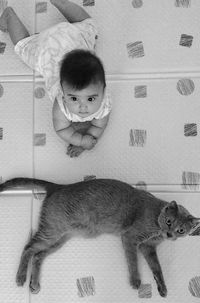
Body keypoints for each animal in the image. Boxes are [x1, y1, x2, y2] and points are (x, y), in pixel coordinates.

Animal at [0, 177, 198, 298]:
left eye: (181, 230)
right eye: (169, 221)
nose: (170, 234)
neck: (156, 228)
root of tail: (59, 186)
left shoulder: (148, 248)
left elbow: (157, 268)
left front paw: (162, 288)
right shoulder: (131, 238)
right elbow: (133, 261)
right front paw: (135, 281)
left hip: (60, 238)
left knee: (38, 255)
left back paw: (34, 284)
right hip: (52, 231)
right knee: (28, 248)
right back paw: (21, 277)